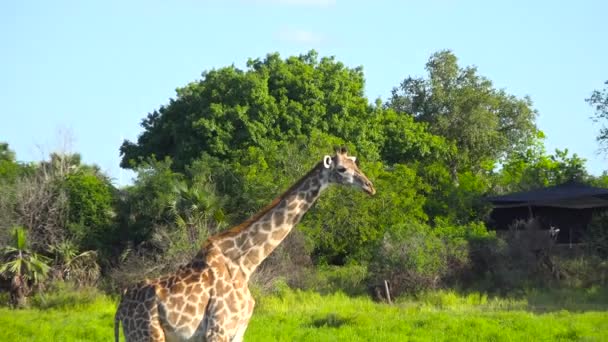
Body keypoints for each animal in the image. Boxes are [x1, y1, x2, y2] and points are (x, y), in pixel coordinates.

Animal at [115, 148, 376, 342]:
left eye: (356, 165)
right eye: (342, 169)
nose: (370, 186)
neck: (245, 264)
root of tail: (120, 308)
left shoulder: (238, 330)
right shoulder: (218, 329)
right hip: (148, 335)